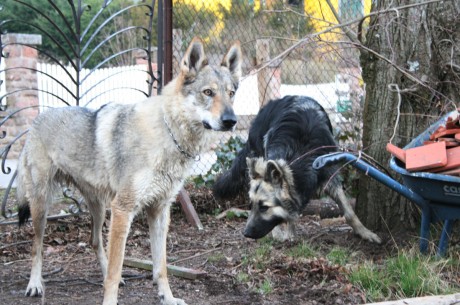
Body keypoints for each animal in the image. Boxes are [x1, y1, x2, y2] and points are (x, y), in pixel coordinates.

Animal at [16, 36, 243, 302]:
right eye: (208, 93)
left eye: (231, 94)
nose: (231, 120)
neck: (168, 134)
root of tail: (36, 120)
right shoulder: (124, 209)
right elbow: (116, 270)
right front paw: (109, 301)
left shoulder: (159, 211)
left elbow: (160, 267)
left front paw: (168, 298)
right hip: (42, 207)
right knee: (36, 247)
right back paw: (35, 284)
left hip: (100, 208)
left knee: (94, 241)